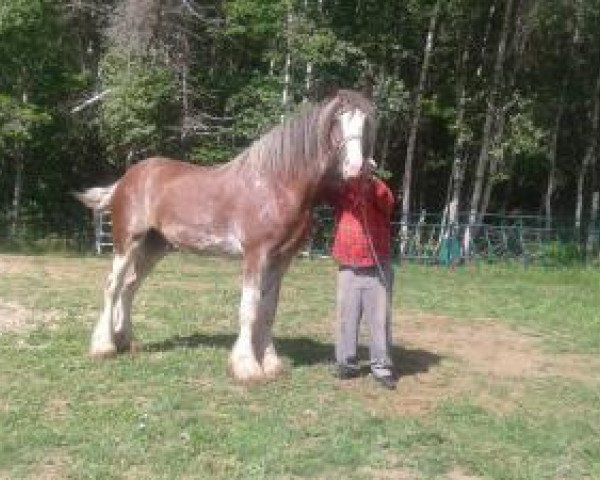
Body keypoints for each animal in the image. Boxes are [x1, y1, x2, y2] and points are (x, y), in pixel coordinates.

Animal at [75, 89, 376, 382]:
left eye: (365, 123)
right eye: (336, 121)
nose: (356, 169)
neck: (276, 185)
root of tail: (127, 178)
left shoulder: (281, 259)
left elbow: (268, 310)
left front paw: (270, 364)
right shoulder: (256, 255)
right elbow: (249, 308)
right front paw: (247, 367)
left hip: (154, 247)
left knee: (129, 287)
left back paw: (126, 341)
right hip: (127, 242)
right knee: (113, 286)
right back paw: (104, 346)